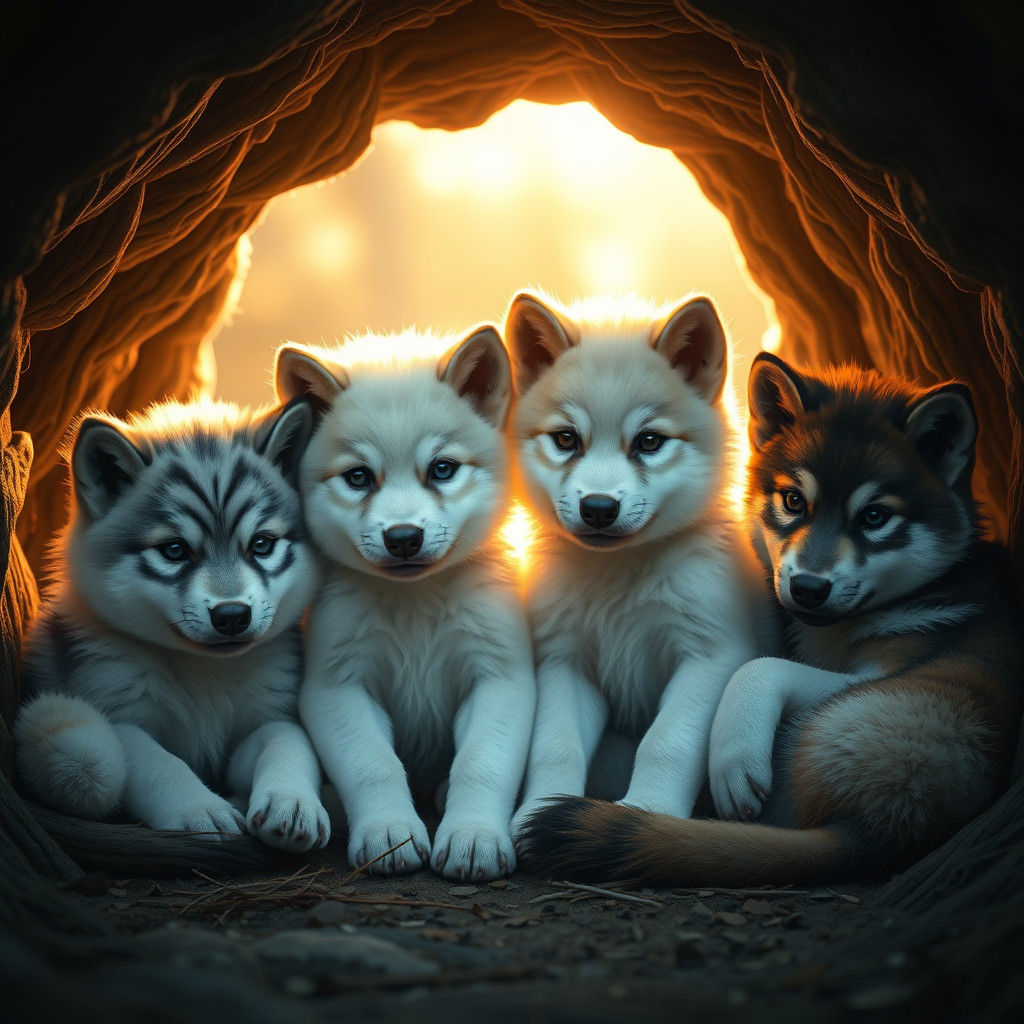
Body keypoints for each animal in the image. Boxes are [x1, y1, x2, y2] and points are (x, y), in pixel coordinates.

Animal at [15, 398, 330, 859]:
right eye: (175, 550)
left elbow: (288, 742)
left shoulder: (265, 716)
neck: (205, 673)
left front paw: (291, 800)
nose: (232, 615)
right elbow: (156, 760)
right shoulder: (113, 705)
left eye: (262, 545)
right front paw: (197, 807)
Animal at [275, 326, 535, 880]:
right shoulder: (336, 686)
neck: (416, 602)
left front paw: (474, 836)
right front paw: (389, 833)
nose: (402, 538)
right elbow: (373, 765)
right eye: (358, 477)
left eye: (442, 469)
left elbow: (481, 764)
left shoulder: (500, 677)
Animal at [506, 291, 771, 837]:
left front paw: (649, 811)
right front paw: (540, 814)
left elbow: (666, 743)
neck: (618, 581)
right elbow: (555, 747)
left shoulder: (710, 655)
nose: (598, 508)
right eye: (566, 439)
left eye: (648, 442)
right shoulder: (565, 663)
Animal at [520, 354, 1024, 884]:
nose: (808, 588)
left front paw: (735, 757)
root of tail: (880, 832)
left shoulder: (886, 669)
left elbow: (758, 667)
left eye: (874, 517)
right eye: (793, 501)